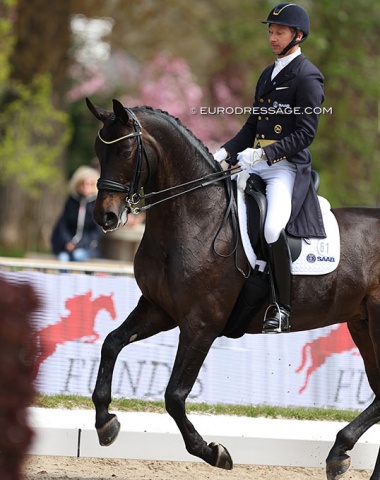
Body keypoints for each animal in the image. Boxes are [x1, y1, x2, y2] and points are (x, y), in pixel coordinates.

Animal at [86, 98, 380, 480]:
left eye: (124, 151)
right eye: (98, 150)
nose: (104, 217)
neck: (196, 216)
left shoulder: (202, 323)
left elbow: (174, 395)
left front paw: (214, 452)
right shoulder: (158, 309)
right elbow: (111, 343)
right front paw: (105, 423)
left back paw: (339, 451)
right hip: (362, 324)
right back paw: (341, 454)